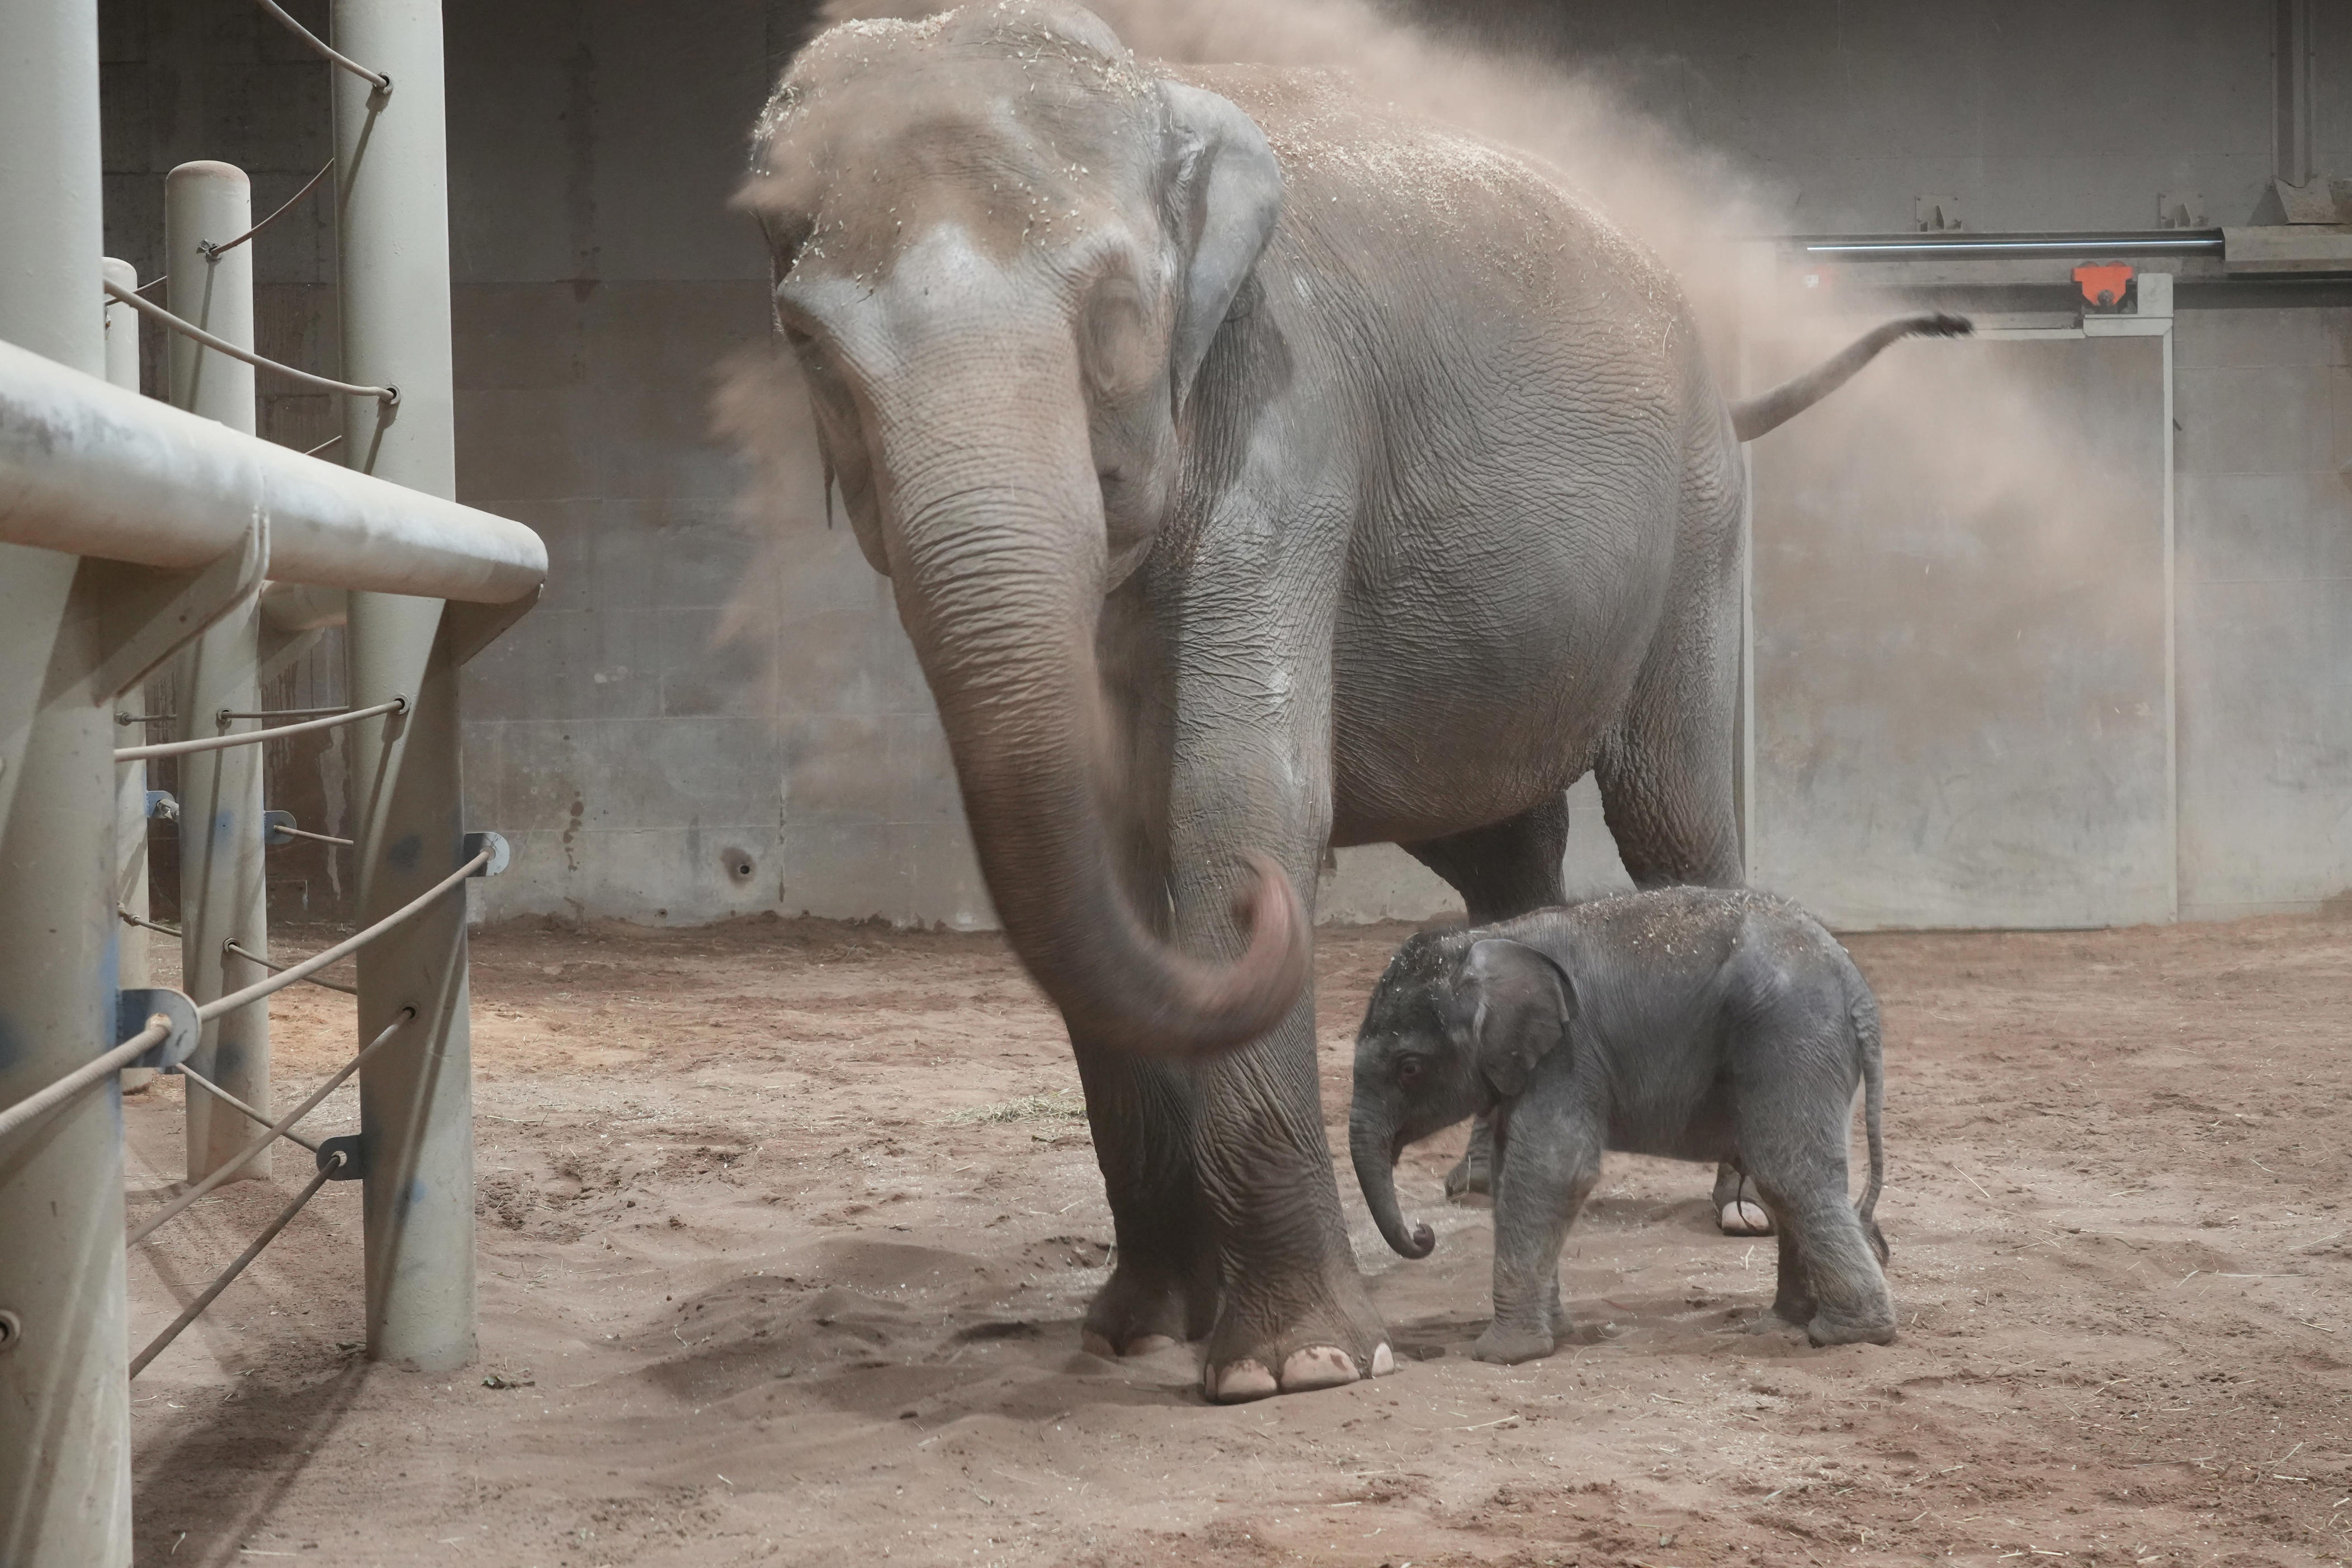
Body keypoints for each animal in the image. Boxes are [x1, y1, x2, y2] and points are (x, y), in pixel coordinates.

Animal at [1348, 888, 1894, 1362]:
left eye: (1410, 1068)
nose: (1423, 1234)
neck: (1488, 938)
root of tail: (1857, 985)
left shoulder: (1569, 1053)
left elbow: (1554, 1171)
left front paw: (1502, 1356)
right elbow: (1513, 1178)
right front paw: (1557, 1333)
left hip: (1792, 1038)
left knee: (1789, 1174)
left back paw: (1845, 1335)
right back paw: (1783, 1326)